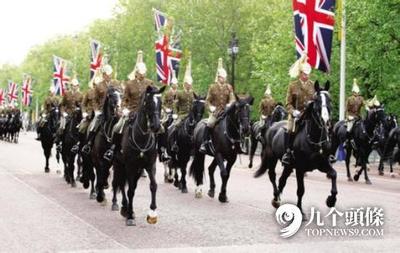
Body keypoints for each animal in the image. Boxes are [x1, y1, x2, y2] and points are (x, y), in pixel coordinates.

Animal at [111, 85, 165, 225]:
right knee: (120, 184)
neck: (142, 137)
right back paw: (124, 207)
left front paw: (152, 213)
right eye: (148, 102)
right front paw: (130, 216)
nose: (156, 126)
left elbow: (153, 185)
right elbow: (130, 190)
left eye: (160, 103)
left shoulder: (149, 165)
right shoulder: (130, 166)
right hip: (119, 164)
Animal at [255, 81, 336, 219]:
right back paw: (276, 198)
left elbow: (334, 174)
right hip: (272, 158)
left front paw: (331, 200)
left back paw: (277, 200)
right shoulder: (300, 168)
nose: (325, 120)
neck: (313, 138)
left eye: (329, 99)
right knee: (273, 176)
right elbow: (301, 190)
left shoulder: (322, 164)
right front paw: (300, 211)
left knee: (282, 180)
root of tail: (272, 126)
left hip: (288, 165)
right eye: (317, 100)